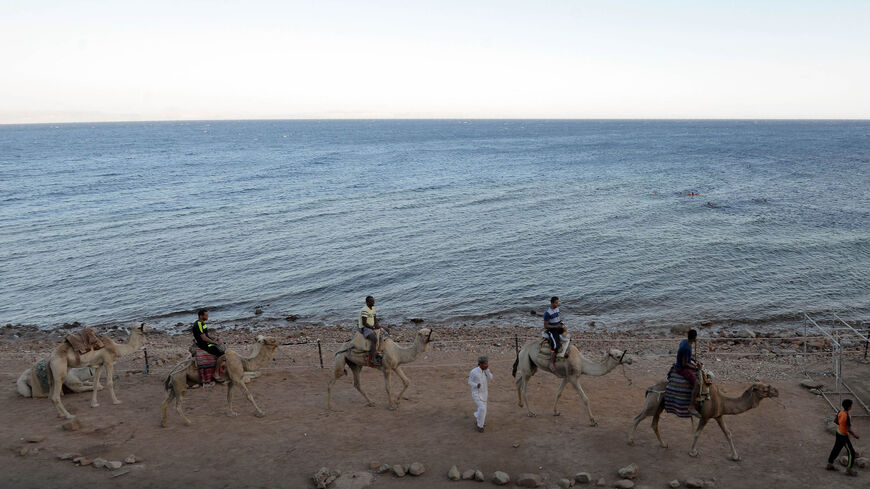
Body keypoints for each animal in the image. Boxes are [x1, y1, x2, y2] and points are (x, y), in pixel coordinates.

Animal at [628, 382, 784, 458]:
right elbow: (697, 433)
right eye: (764, 389)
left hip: (659, 406)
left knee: (654, 424)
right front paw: (693, 452)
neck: (722, 401)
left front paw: (735, 456)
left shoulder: (719, 416)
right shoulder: (705, 417)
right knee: (637, 418)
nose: (777, 391)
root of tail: (651, 388)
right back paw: (631, 441)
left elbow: (728, 433)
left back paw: (664, 444)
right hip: (653, 404)